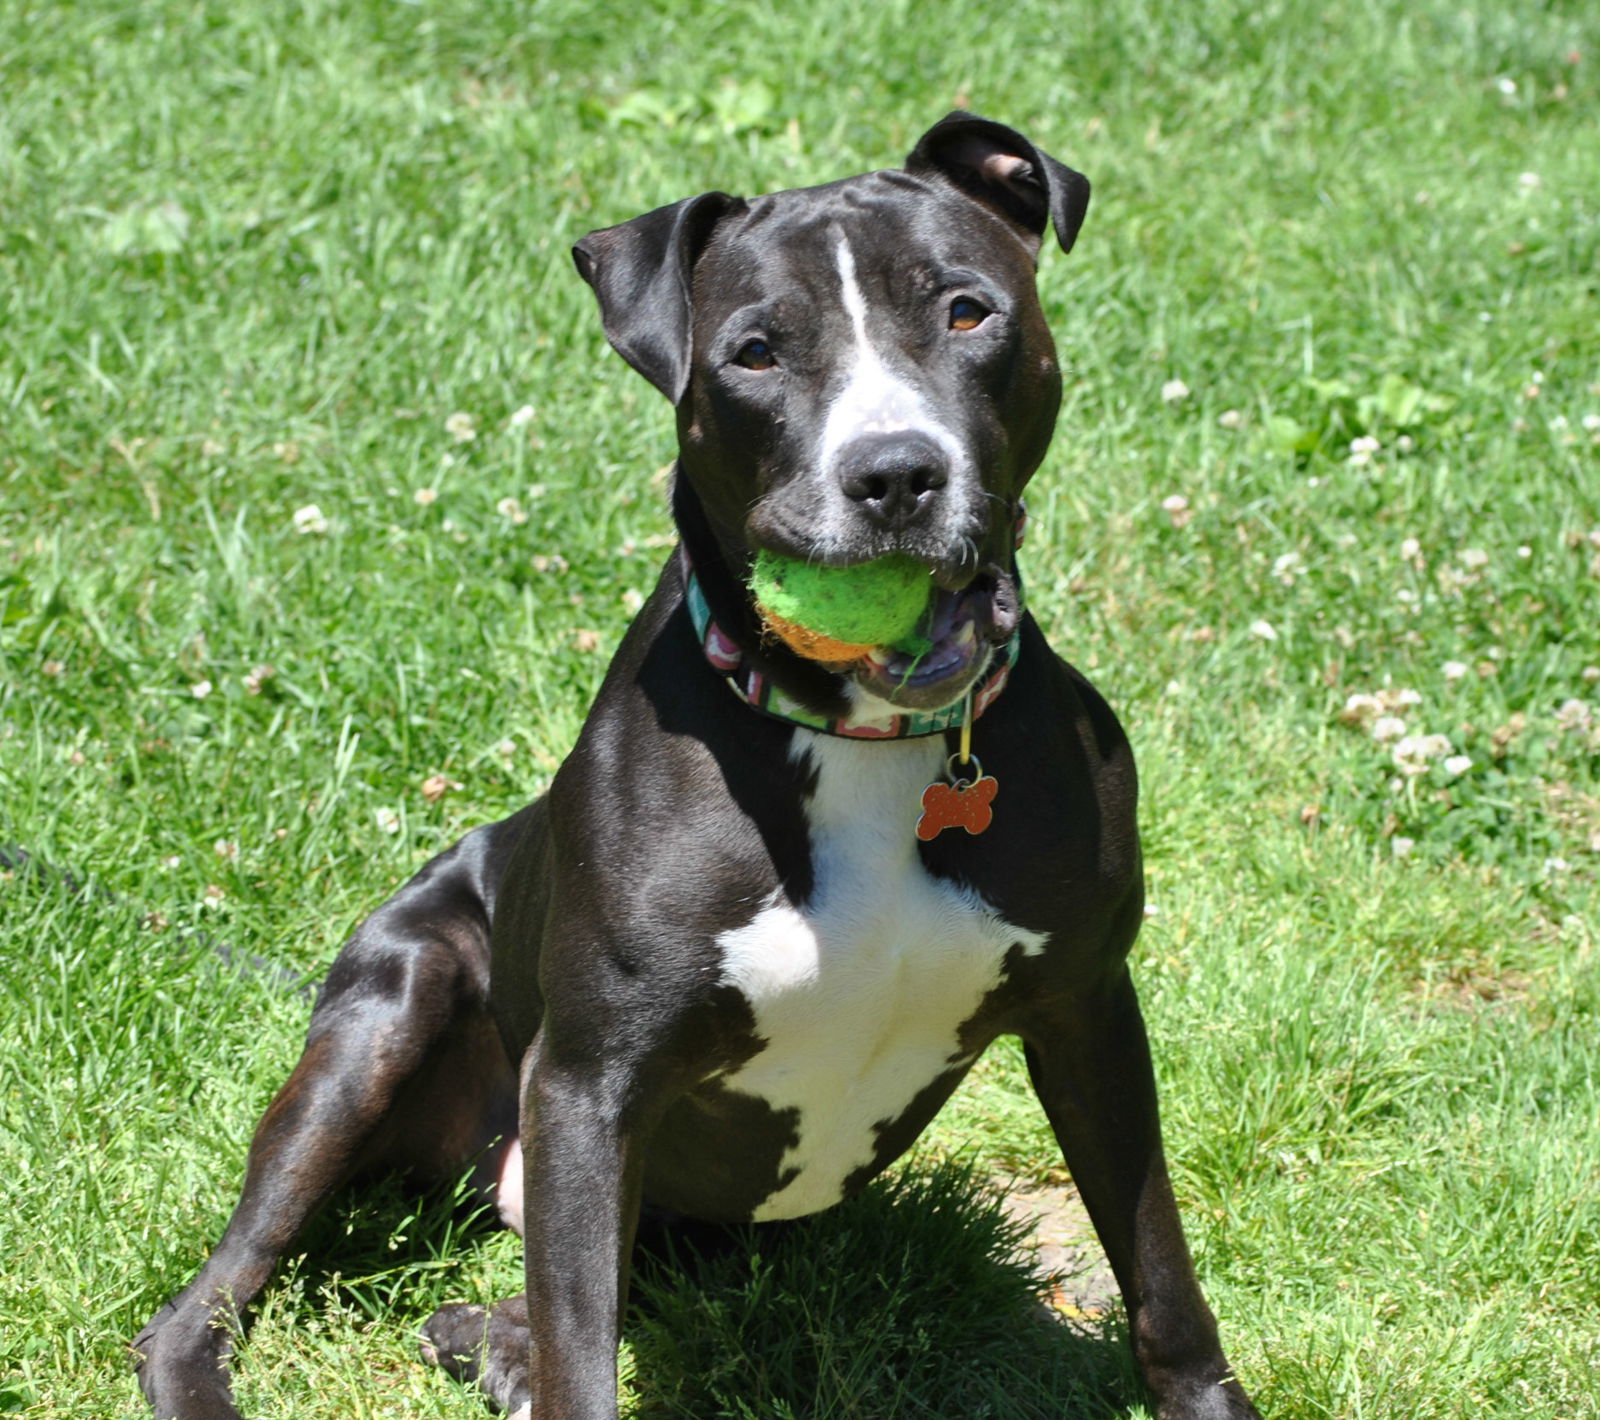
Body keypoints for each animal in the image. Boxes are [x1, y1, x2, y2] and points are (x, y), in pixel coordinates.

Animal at [134, 113, 1260, 1420]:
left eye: (967, 312)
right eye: (756, 352)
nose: (893, 473)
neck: (860, 734)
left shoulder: (1088, 1008)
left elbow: (1159, 1266)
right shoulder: (590, 1083)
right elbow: (586, 1361)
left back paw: (488, 1338)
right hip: (385, 1016)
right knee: (213, 1295)